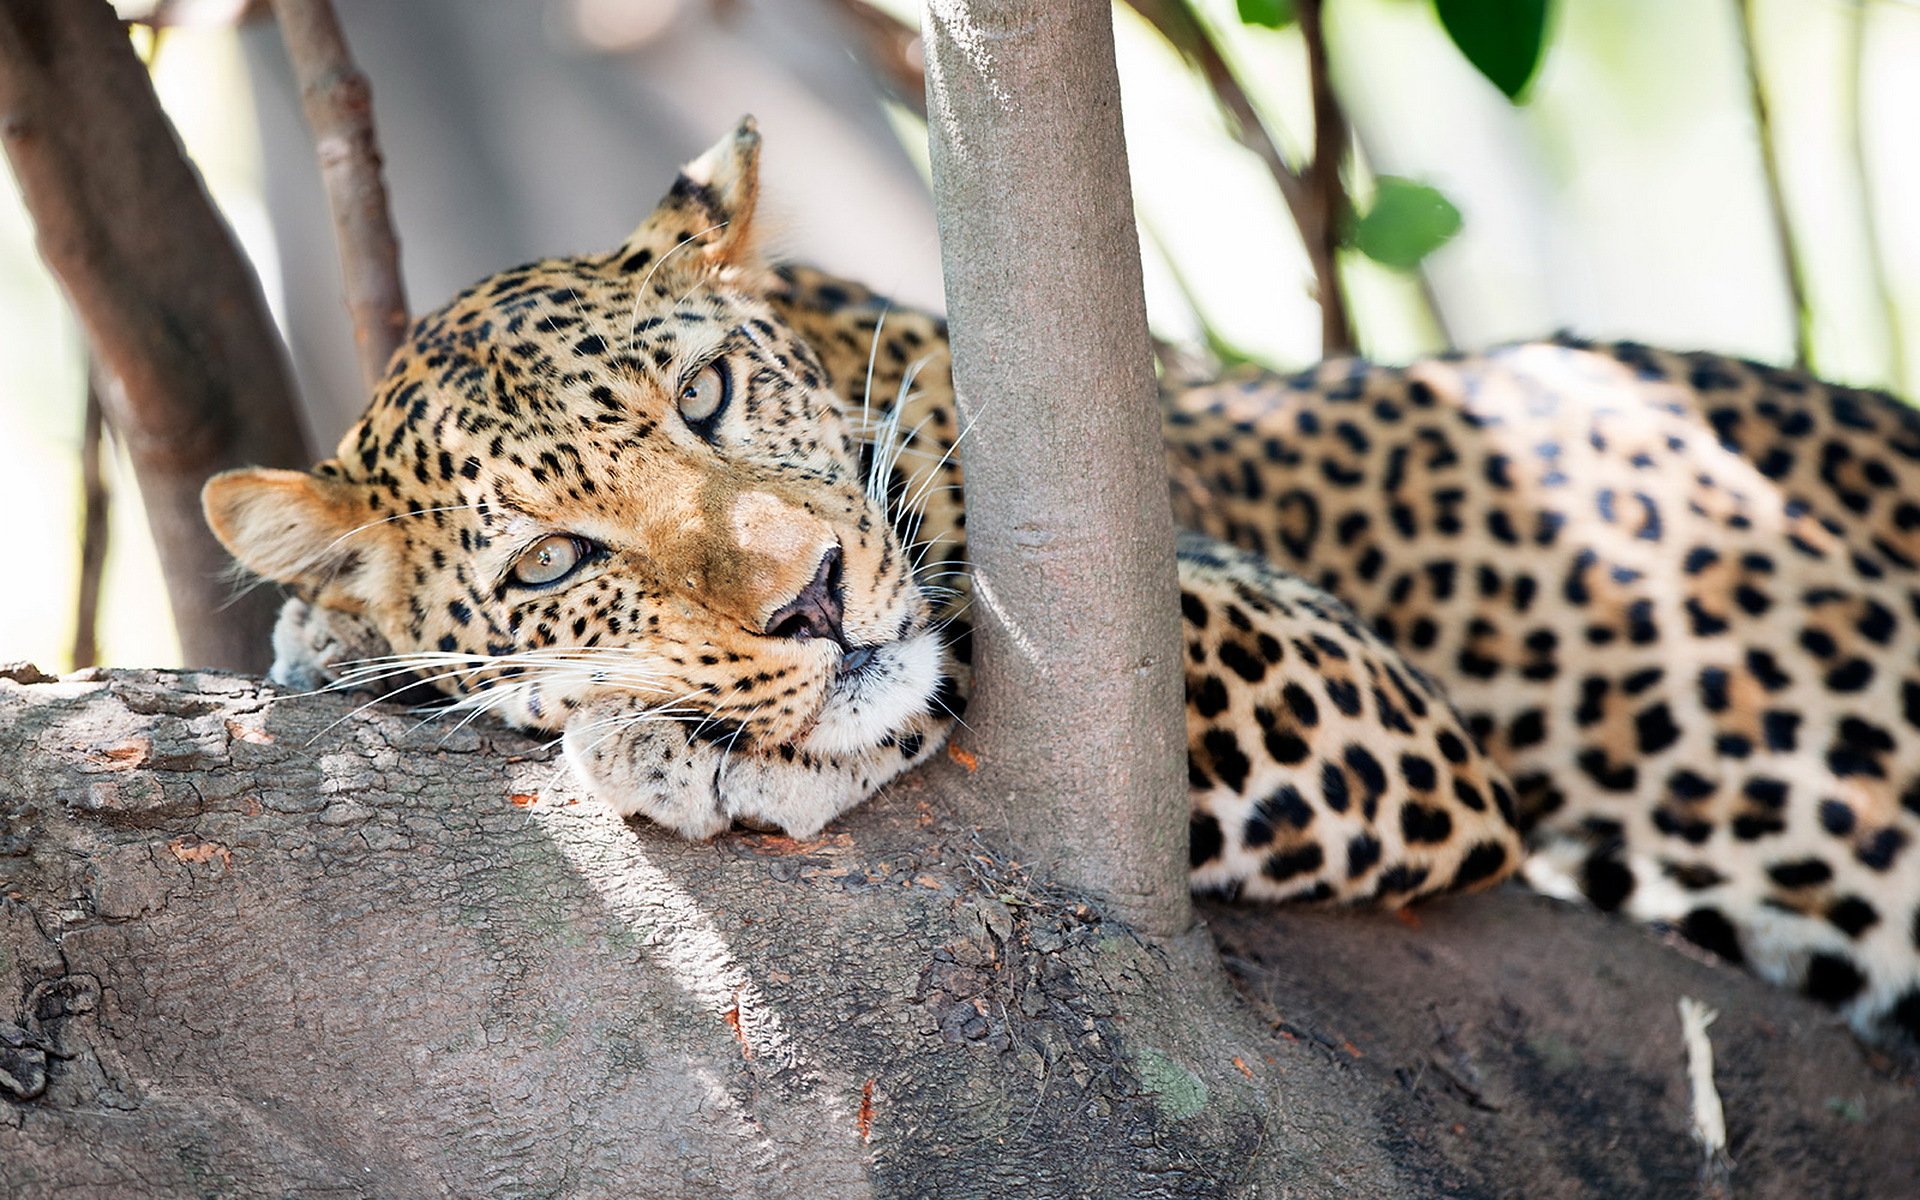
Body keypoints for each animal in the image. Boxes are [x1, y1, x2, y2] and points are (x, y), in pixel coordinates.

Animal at [210, 119, 1920, 1036]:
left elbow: (989, 637)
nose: (810, 598)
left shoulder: (1348, 683)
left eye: (702, 393)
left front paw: (688, 739)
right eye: (558, 557)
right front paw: (325, 641)